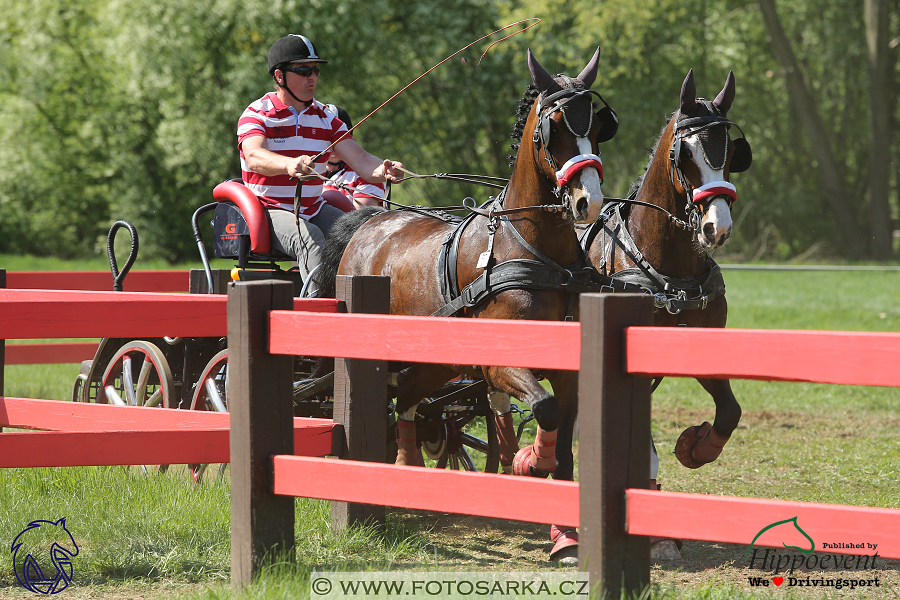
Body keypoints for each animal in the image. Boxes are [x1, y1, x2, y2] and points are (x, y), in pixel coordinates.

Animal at [318, 47, 620, 556]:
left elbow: (564, 440)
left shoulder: (569, 369)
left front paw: (564, 535)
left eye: (598, 127)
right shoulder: (499, 362)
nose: (588, 201)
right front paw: (527, 462)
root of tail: (369, 223)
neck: (534, 251)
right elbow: (544, 410)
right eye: (554, 128)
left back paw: (410, 467)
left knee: (411, 400)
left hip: (437, 361)